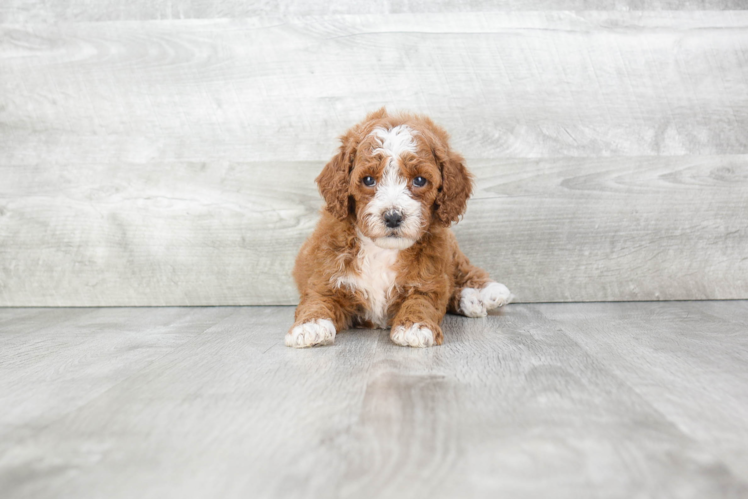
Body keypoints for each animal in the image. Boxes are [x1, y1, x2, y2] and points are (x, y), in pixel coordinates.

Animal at [288, 107, 516, 350]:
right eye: (368, 180)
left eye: (419, 180)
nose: (393, 217)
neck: (381, 250)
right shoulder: (325, 277)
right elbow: (317, 300)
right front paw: (310, 326)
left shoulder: (430, 278)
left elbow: (421, 301)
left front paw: (414, 327)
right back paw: (470, 300)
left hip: (452, 251)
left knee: (462, 268)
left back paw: (488, 292)